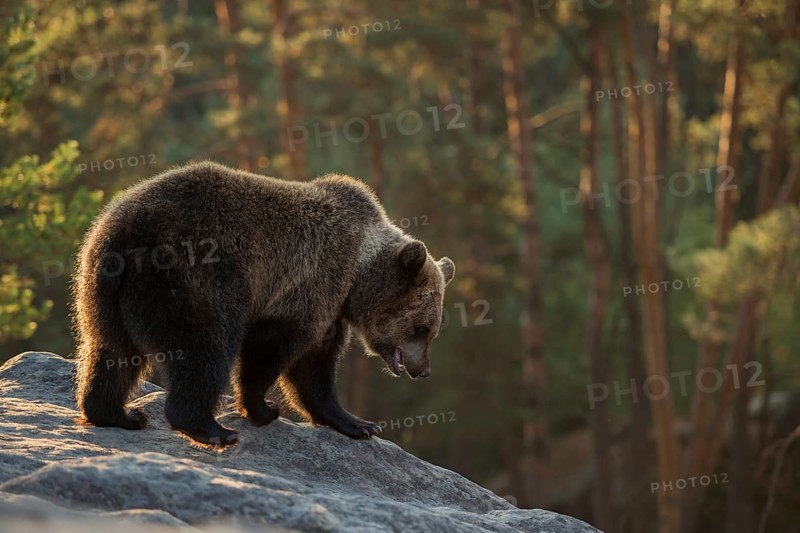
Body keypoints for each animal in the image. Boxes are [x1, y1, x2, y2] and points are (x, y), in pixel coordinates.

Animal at [72, 161, 455, 446]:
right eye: (423, 328)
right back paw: (211, 429)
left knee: (113, 350)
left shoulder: (328, 306)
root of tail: (124, 234)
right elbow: (275, 350)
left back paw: (118, 414)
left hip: (103, 288)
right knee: (205, 348)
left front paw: (357, 423)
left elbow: (314, 366)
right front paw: (264, 408)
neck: (356, 273)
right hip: (188, 277)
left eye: (433, 332)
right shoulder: (313, 281)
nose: (423, 370)